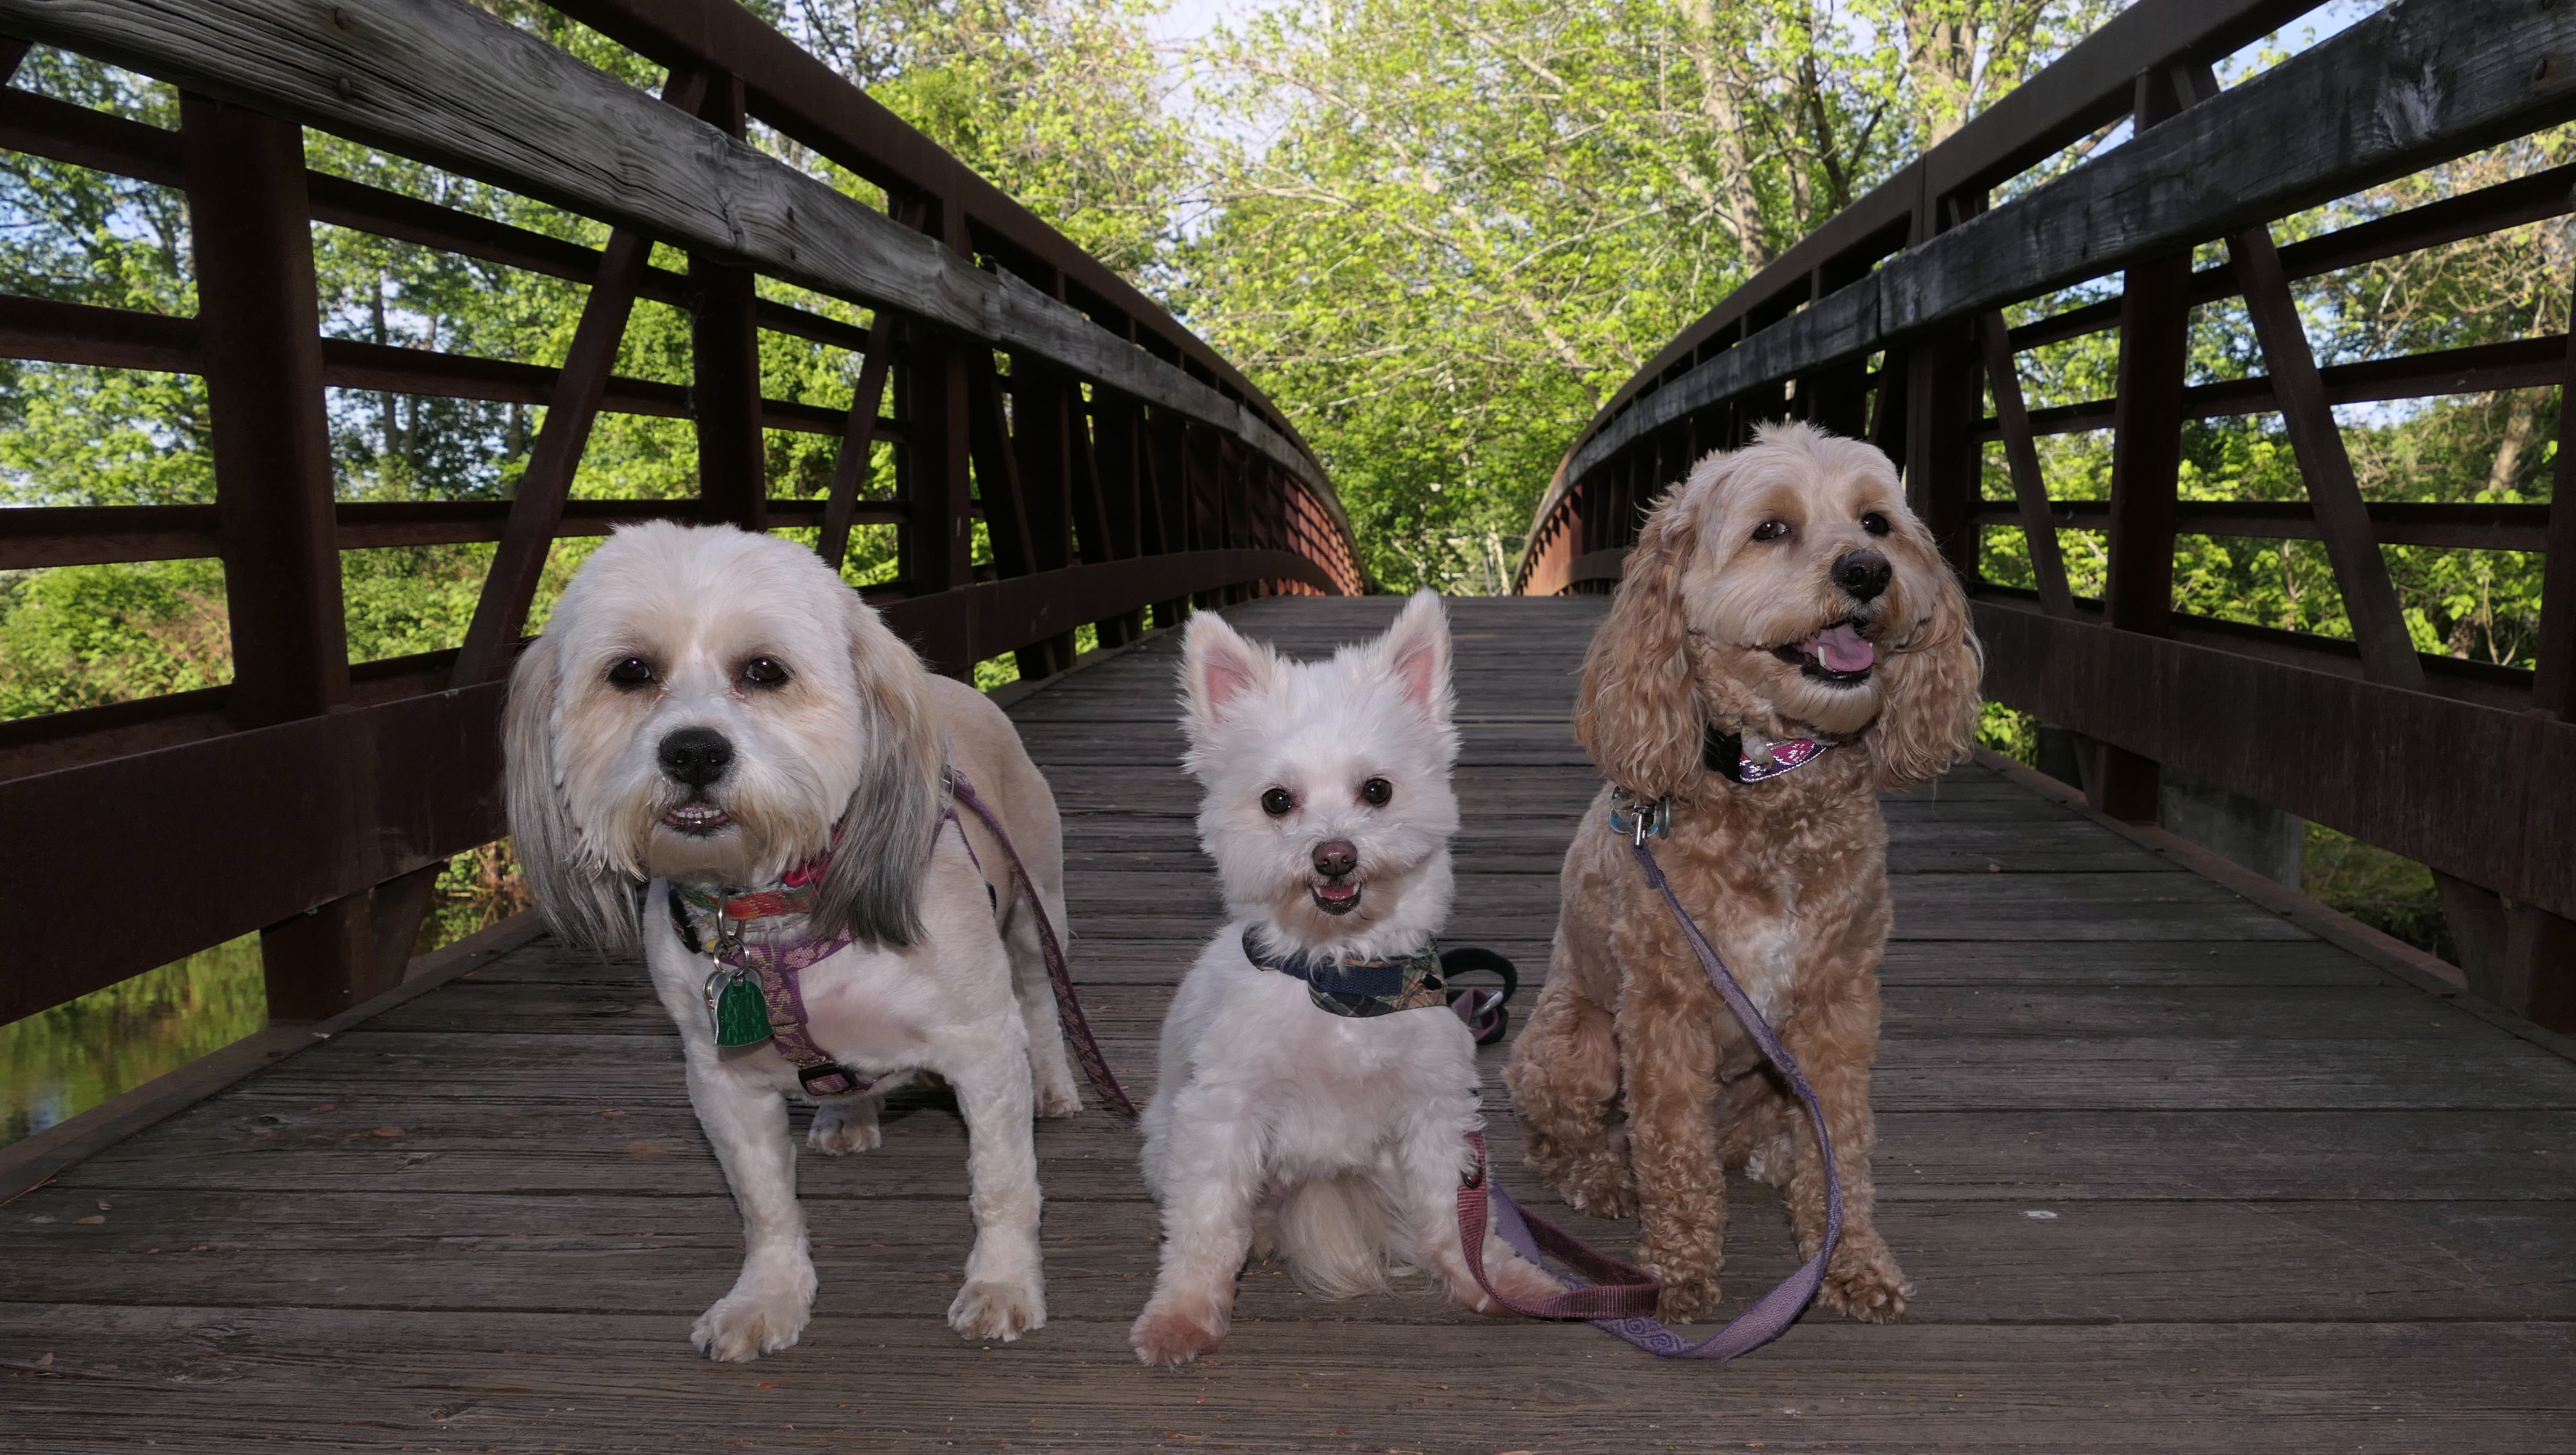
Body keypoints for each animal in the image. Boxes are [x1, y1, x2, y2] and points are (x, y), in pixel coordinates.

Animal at [503, 521, 1081, 1359]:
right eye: (631, 671)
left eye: (765, 671)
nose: (694, 750)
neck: (774, 916)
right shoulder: (720, 1080)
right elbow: (765, 1206)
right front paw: (767, 1298)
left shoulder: (981, 1045)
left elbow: (1001, 1183)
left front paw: (1003, 1284)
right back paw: (847, 1115)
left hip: (1038, 905)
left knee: (1040, 996)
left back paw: (1054, 1084)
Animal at [1128, 592, 1562, 1366]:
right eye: (1276, 800)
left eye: (1377, 790)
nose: (1334, 856)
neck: (1342, 984)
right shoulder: (1221, 1115)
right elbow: (1206, 1224)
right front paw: (1181, 1316)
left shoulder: (1435, 1110)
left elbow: (1456, 1218)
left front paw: (1496, 1279)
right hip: (1163, 1139)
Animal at [1504, 422, 1981, 1326]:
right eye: (1771, 530)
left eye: (1876, 523)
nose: (1867, 572)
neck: (1772, 778)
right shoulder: (1665, 1011)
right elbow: (1673, 1152)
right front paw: (1676, 1271)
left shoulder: (1838, 1007)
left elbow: (1846, 1147)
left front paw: (1849, 1257)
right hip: (1576, 1048)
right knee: (1560, 1136)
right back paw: (1602, 1176)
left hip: (1766, 1069)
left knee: (1754, 1139)